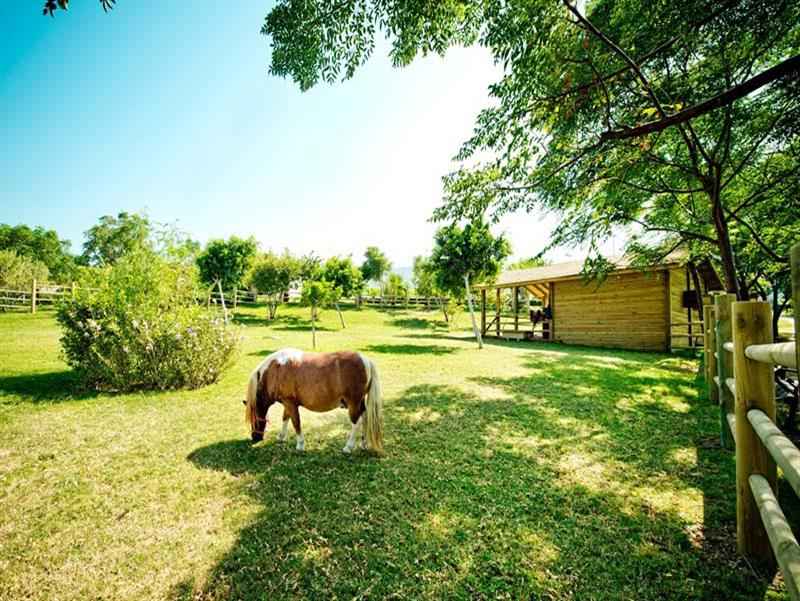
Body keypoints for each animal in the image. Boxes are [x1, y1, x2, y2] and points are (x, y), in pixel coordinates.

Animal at [243, 348, 383, 453]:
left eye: (253, 418)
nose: (255, 437)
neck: (276, 370)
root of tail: (365, 360)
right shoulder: (287, 404)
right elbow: (285, 418)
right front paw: (281, 437)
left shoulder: (290, 403)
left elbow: (296, 422)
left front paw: (300, 445)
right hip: (359, 403)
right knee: (365, 418)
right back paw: (364, 444)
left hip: (353, 403)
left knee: (356, 423)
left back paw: (348, 447)